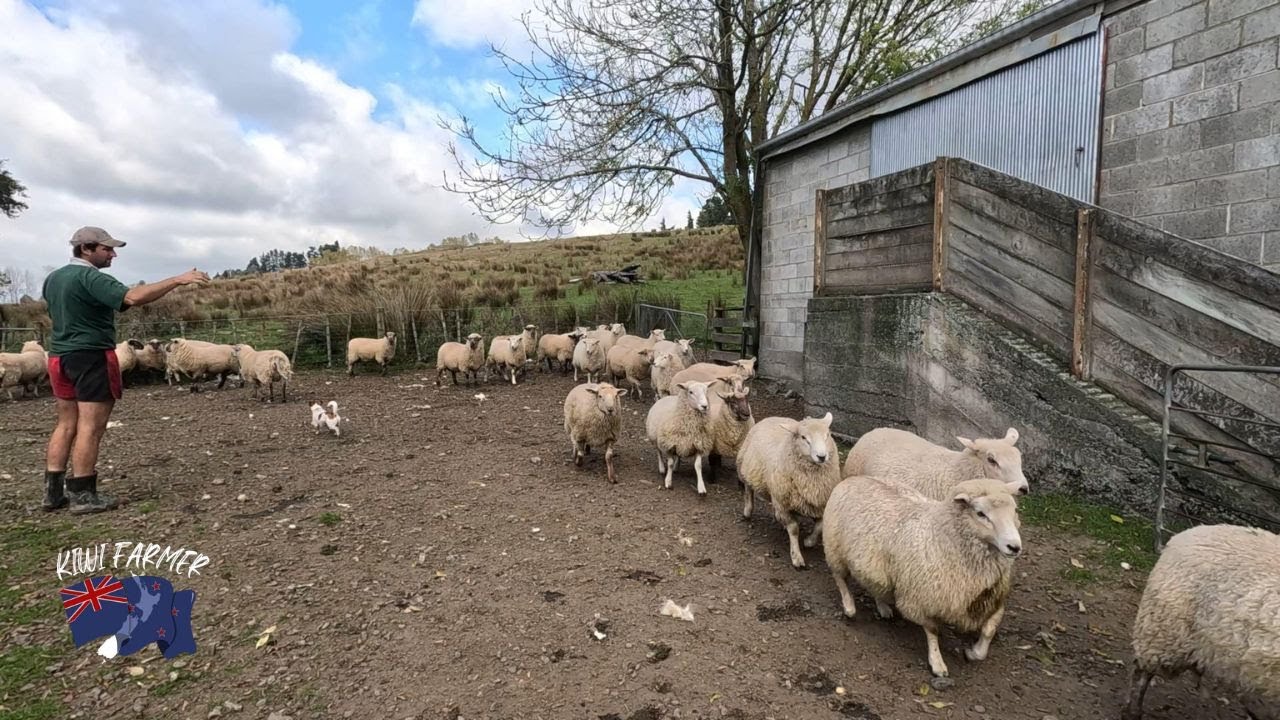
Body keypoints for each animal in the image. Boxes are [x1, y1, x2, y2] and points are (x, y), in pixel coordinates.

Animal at [735, 412, 841, 568]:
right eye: (803, 437)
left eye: (827, 435)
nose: (822, 456)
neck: (812, 480)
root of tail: (772, 417)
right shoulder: (783, 504)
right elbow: (794, 529)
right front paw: (796, 557)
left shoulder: (820, 503)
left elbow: (820, 526)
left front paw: (809, 542)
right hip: (746, 468)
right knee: (748, 490)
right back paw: (748, 511)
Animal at [823, 476, 1023, 678]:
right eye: (980, 513)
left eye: (1014, 510)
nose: (1014, 547)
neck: (943, 537)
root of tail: (852, 478)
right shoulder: (922, 599)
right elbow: (933, 631)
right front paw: (937, 663)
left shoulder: (993, 599)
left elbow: (989, 630)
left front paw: (974, 652)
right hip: (835, 550)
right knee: (840, 579)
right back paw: (849, 607)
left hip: (874, 566)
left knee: (875, 584)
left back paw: (883, 606)